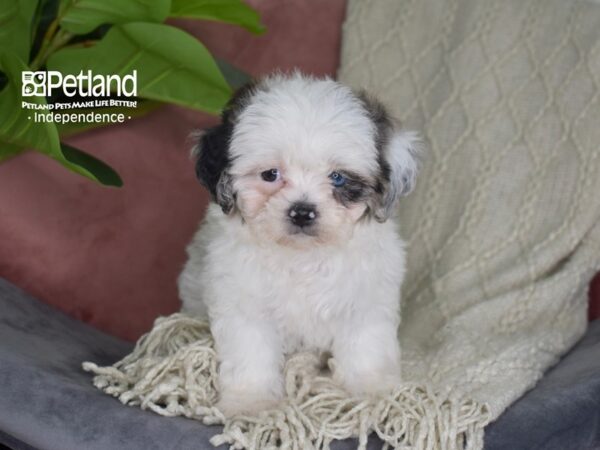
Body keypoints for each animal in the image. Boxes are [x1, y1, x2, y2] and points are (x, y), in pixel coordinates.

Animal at [180, 72, 420, 416]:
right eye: (270, 174)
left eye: (338, 178)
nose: (302, 212)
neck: (303, 256)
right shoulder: (243, 302)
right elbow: (250, 351)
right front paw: (250, 402)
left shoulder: (366, 297)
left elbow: (366, 345)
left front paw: (372, 390)